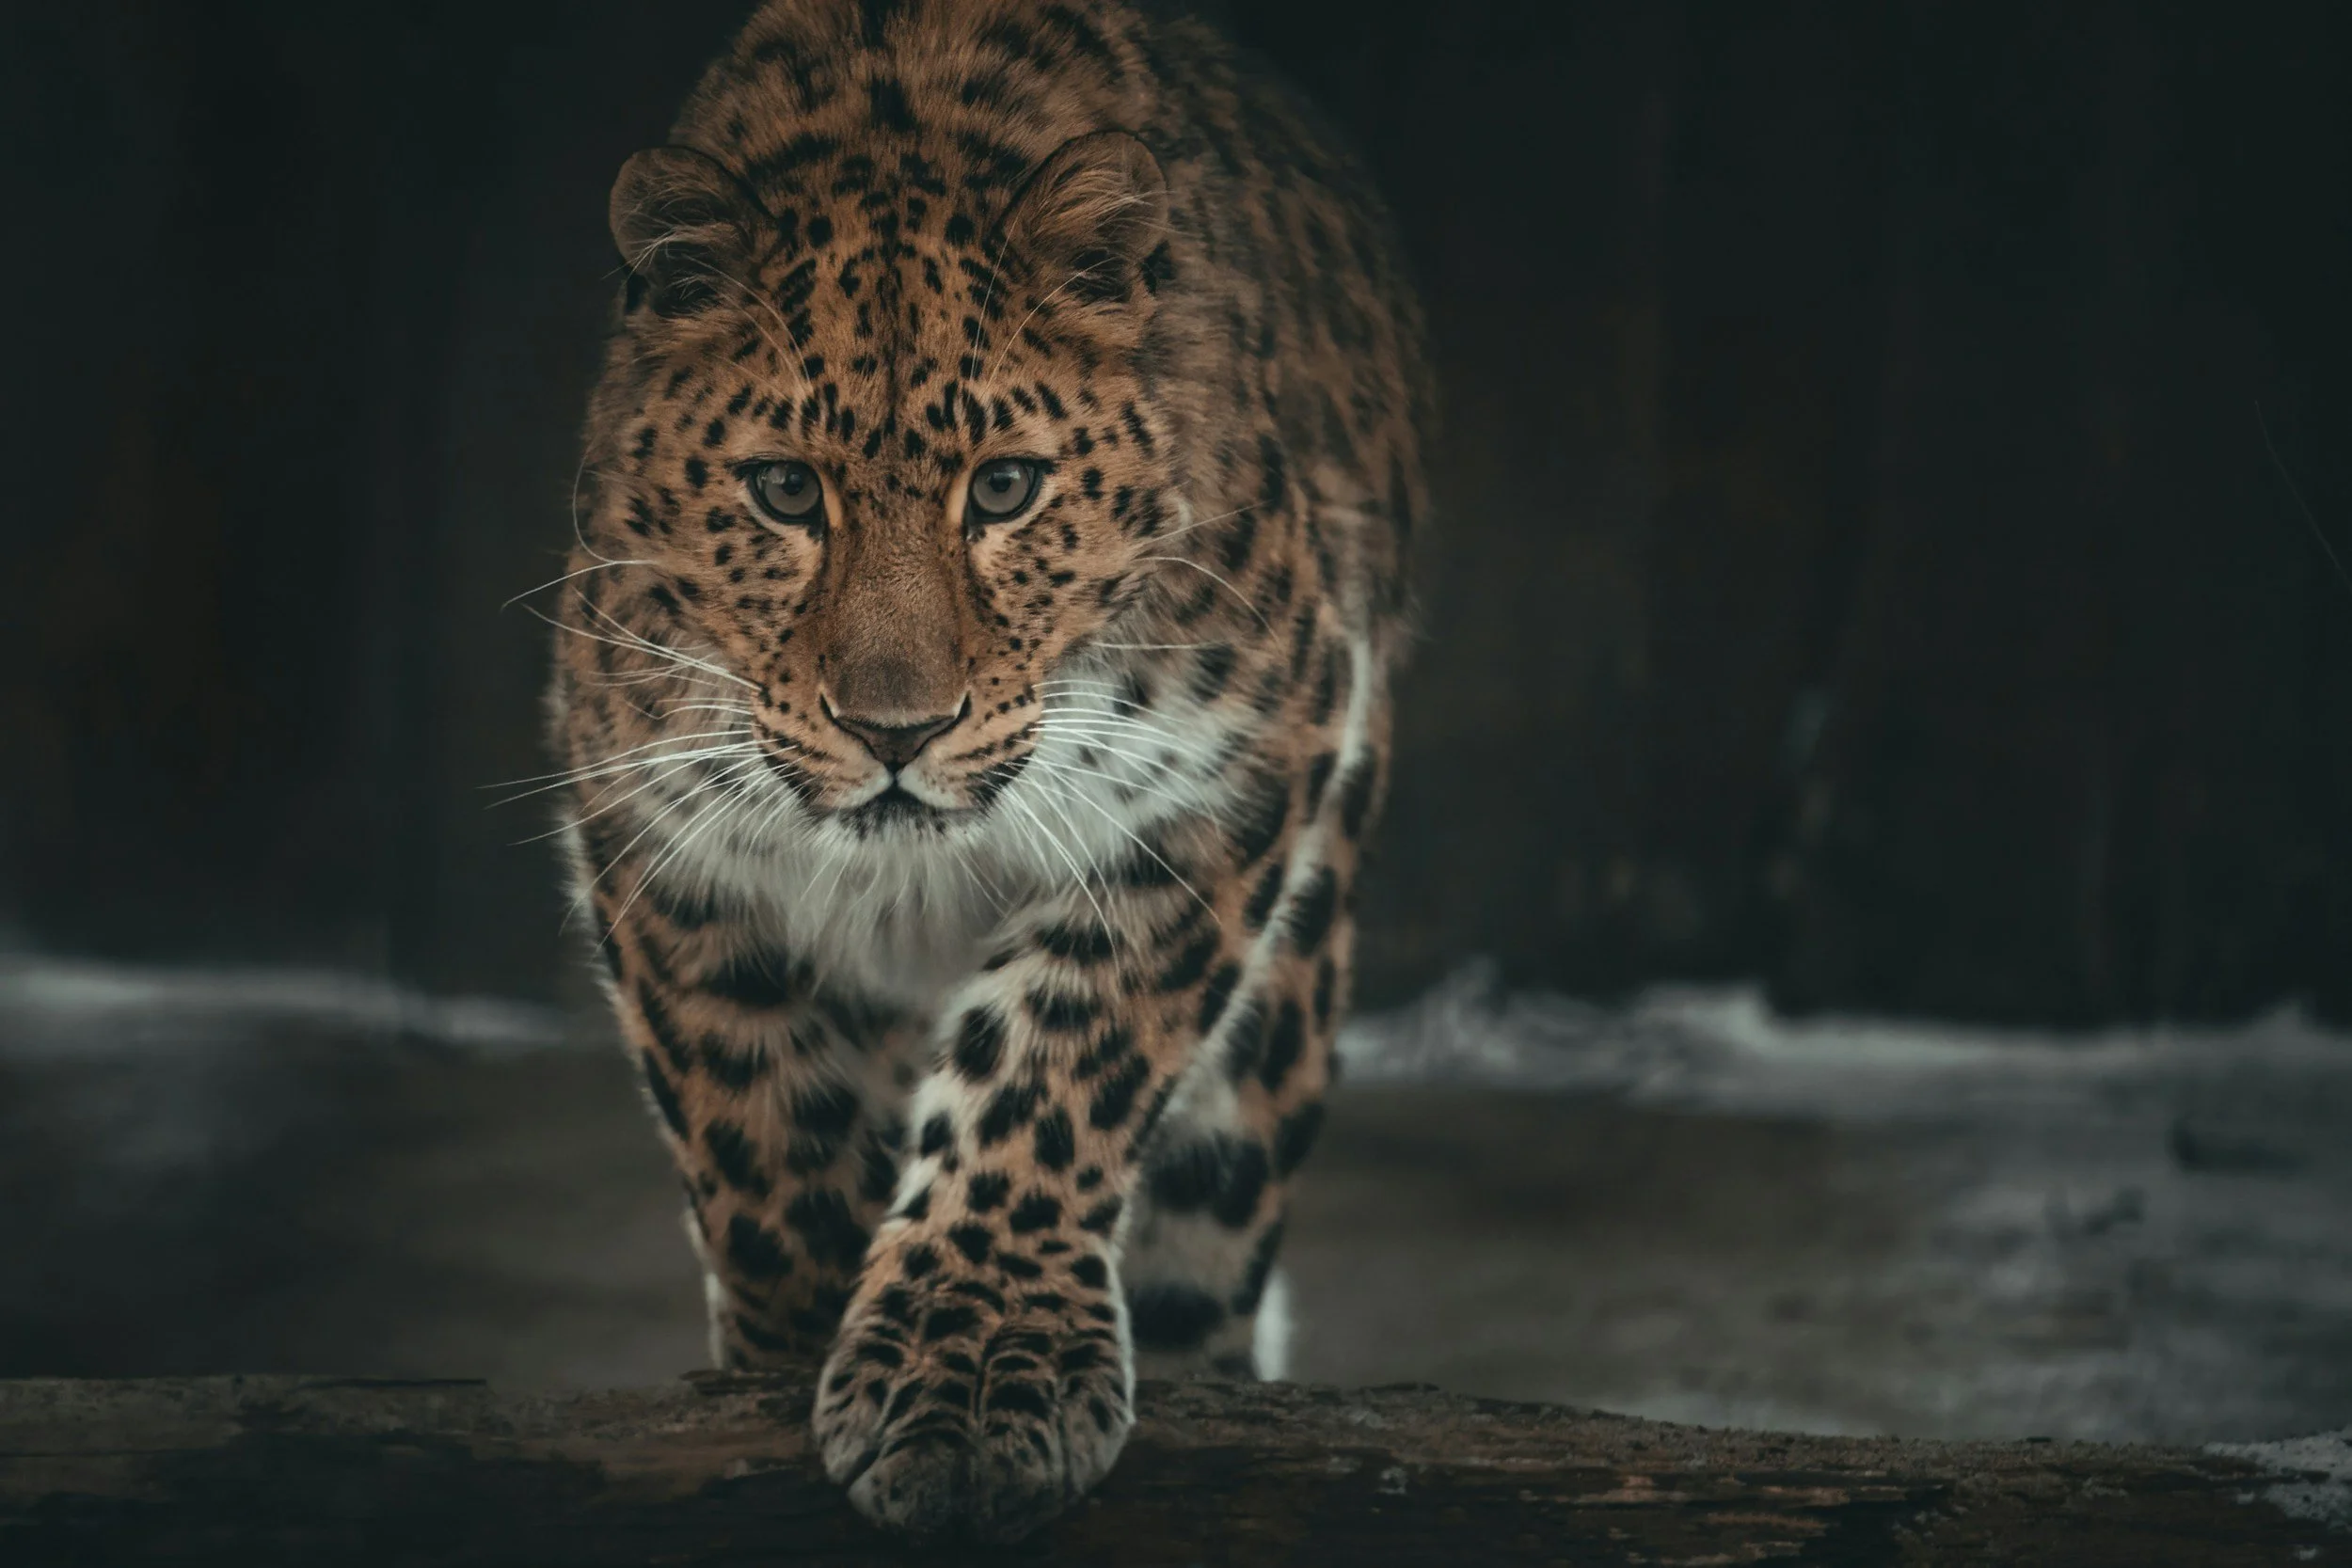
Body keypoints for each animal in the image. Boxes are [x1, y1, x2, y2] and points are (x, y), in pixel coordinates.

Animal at [545, 0, 1430, 1539]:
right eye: (785, 489)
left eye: (1005, 488)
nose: (896, 729)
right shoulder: (649, 807)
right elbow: (753, 1119)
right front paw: (790, 1340)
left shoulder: (1241, 761)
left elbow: (1055, 1063)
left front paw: (972, 1371)